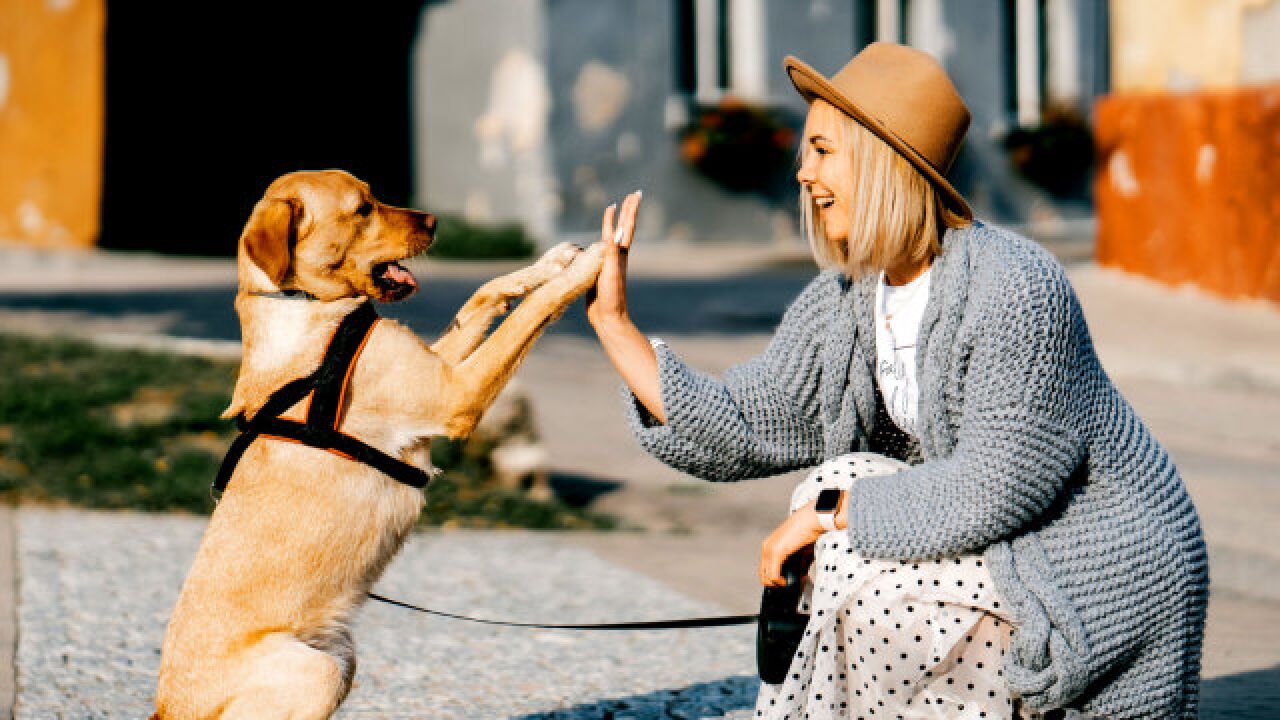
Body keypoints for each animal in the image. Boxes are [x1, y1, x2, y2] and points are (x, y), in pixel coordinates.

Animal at [153, 170, 604, 712]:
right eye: (362, 209)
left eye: (373, 194)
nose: (435, 221)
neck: (306, 306)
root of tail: (165, 709)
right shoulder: (456, 393)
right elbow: (530, 314)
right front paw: (595, 261)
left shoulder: (439, 367)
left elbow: (484, 293)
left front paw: (553, 261)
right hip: (320, 670)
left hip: (343, 658)